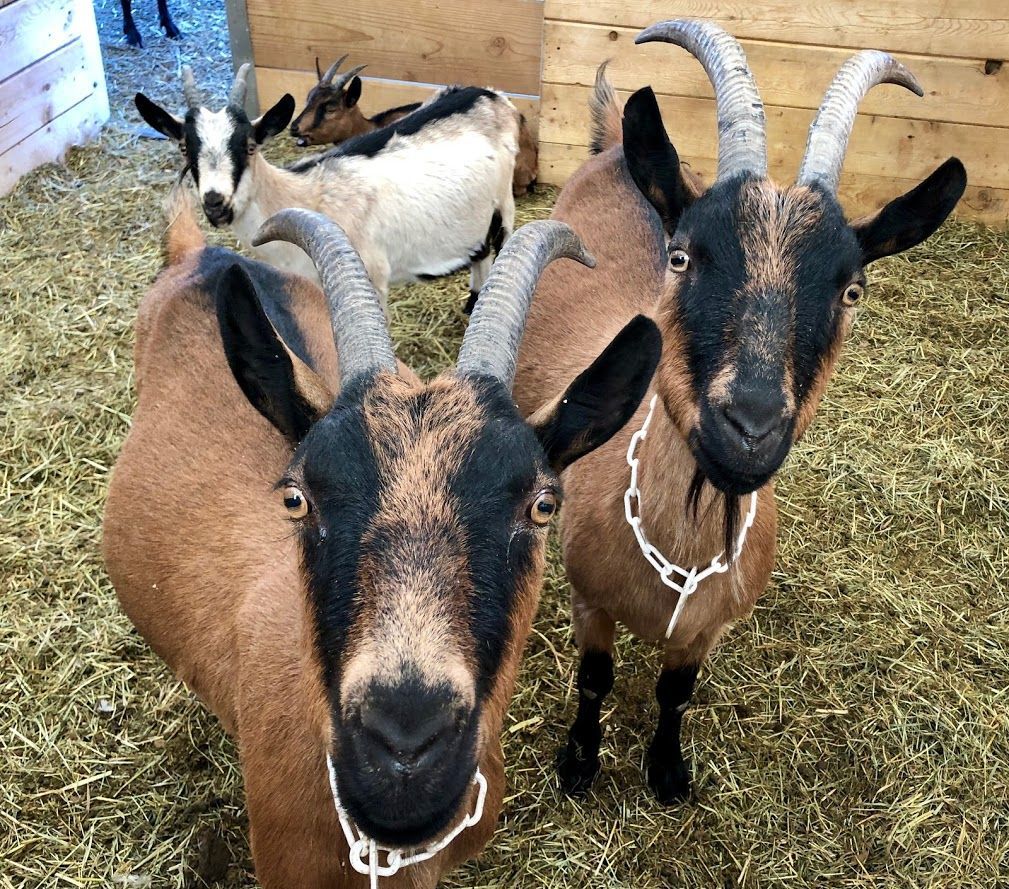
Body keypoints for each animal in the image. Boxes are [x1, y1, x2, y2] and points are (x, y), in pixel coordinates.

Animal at [135, 64, 518, 311]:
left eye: (249, 146)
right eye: (185, 148)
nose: (216, 202)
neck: (303, 195)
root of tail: (493, 95)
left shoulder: (371, 279)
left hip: (505, 206)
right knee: (479, 252)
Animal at [511, 20, 966, 804]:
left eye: (851, 289)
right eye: (683, 256)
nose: (748, 429)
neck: (681, 552)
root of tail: (614, 144)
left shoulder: (708, 631)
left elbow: (676, 693)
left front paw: (667, 772)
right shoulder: (589, 602)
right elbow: (594, 679)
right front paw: (578, 763)